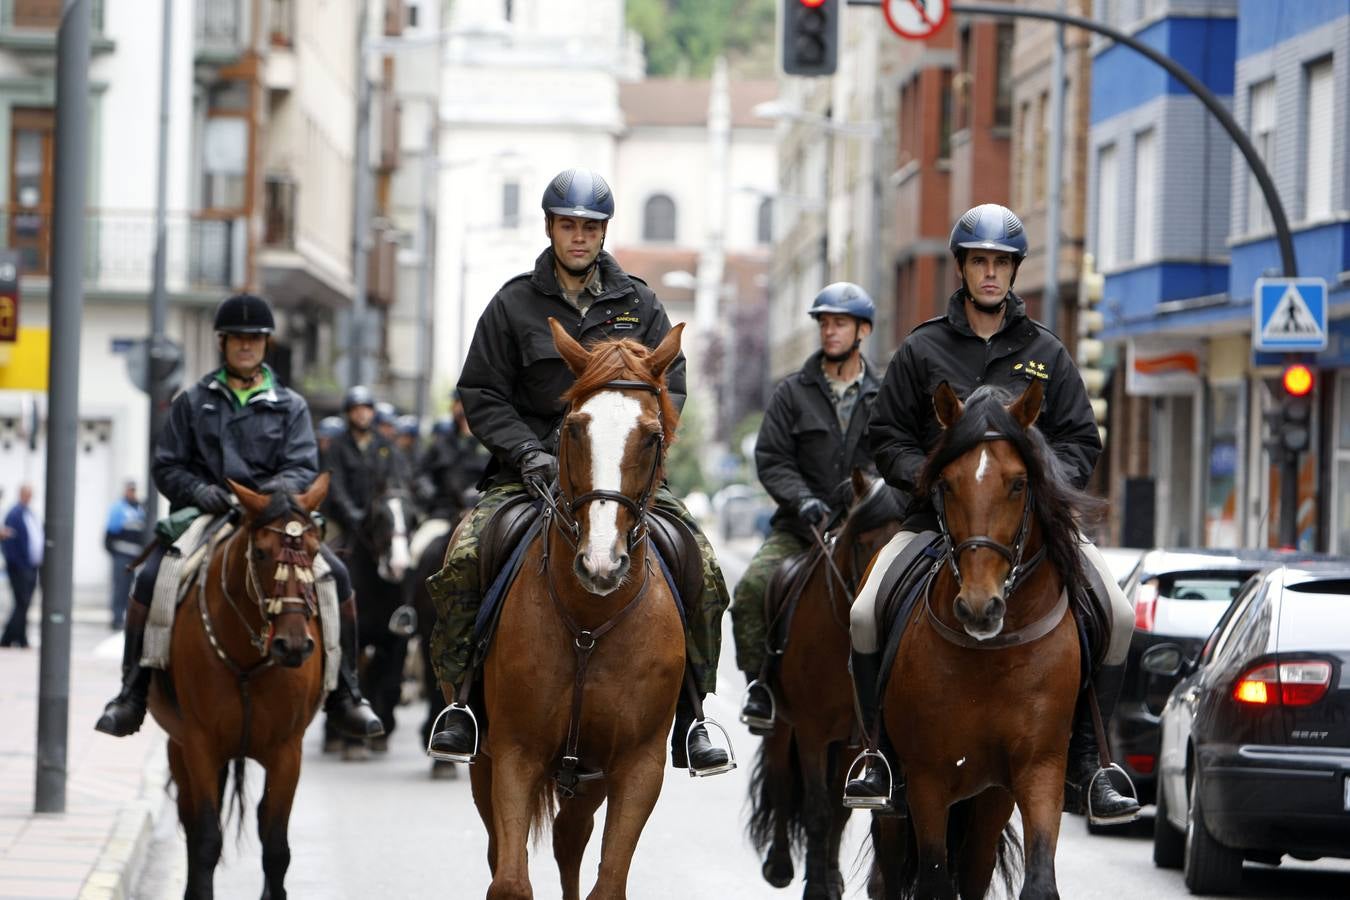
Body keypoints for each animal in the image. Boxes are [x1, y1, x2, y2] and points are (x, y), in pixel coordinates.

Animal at [147, 474, 329, 895]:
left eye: (313, 551)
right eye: (260, 553)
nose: (294, 646)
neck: (247, 657)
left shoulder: (287, 752)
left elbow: (276, 846)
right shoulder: (199, 745)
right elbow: (206, 839)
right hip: (178, 746)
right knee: (192, 820)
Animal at [469, 318, 691, 900]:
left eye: (652, 435)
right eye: (573, 428)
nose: (601, 563)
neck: (588, 624)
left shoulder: (638, 767)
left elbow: (607, 882)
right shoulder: (514, 753)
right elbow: (509, 879)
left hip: (587, 778)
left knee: (571, 841)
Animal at [750, 472, 907, 900]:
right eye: (863, 541)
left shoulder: (857, 738)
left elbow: (838, 809)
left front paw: (828, 880)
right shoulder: (811, 731)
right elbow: (817, 808)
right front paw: (816, 885)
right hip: (781, 725)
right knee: (782, 780)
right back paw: (779, 866)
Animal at [874, 383, 1096, 900]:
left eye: (1018, 483)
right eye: (946, 484)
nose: (979, 607)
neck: (993, 656)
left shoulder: (1039, 769)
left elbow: (1039, 880)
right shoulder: (927, 780)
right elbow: (934, 881)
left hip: (990, 800)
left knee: (974, 871)